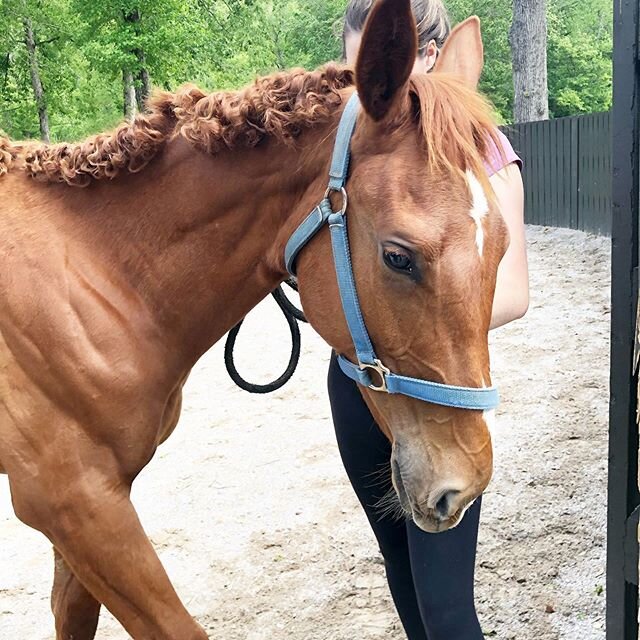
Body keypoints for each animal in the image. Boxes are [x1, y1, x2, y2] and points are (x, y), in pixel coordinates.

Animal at [1, 1, 510, 636]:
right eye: (398, 256)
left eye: (503, 245)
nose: (465, 483)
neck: (95, 272)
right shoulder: (72, 501)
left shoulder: (89, 507)